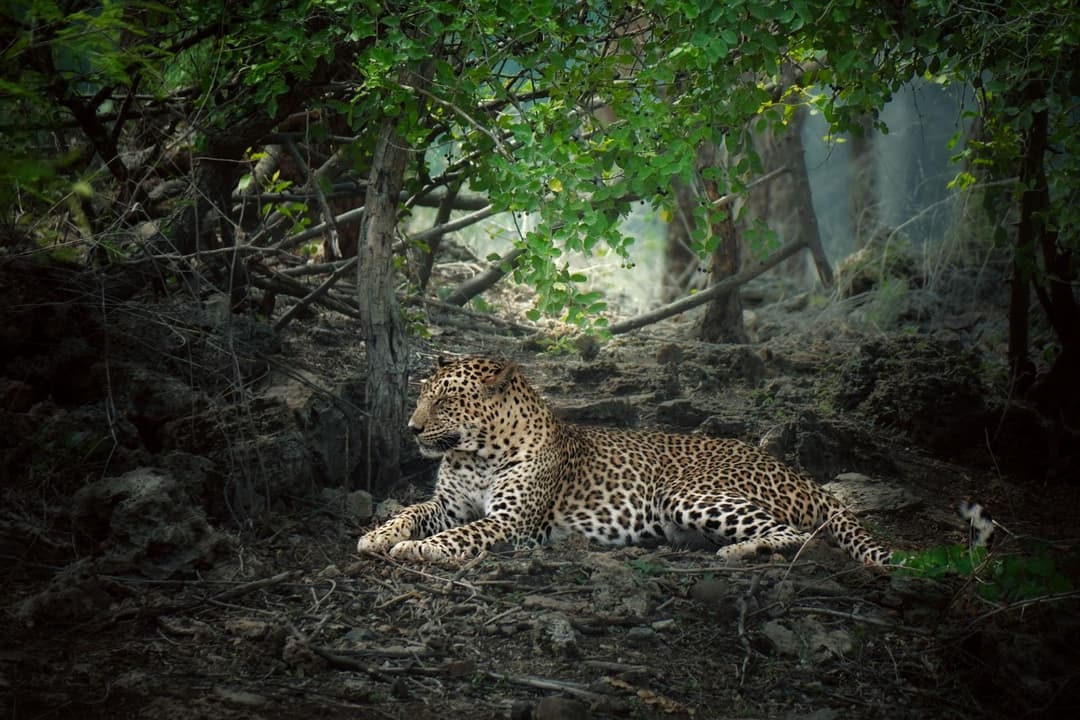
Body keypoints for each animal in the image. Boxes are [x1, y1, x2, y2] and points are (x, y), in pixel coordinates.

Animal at [357, 355, 992, 565]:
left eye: (445, 399)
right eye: (422, 393)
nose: (411, 427)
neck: (477, 453)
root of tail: (804, 476)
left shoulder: (512, 521)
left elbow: (461, 536)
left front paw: (416, 550)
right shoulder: (447, 503)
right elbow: (412, 513)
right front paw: (377, 534)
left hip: (688, 492)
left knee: (799, 535)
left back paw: (738, 553)